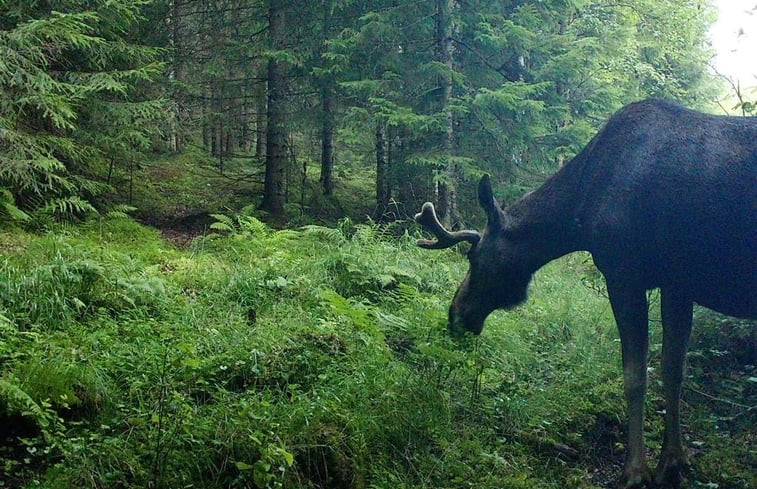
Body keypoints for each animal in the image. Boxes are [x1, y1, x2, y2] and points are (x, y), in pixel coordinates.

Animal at [416, 97, 752, 486]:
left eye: (473, 256)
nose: (455, 314)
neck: (580, 207)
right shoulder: (676, 285)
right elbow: (673, 371)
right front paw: (672, 463)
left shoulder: (624, 274)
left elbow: (636, 376)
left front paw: (635, 471)